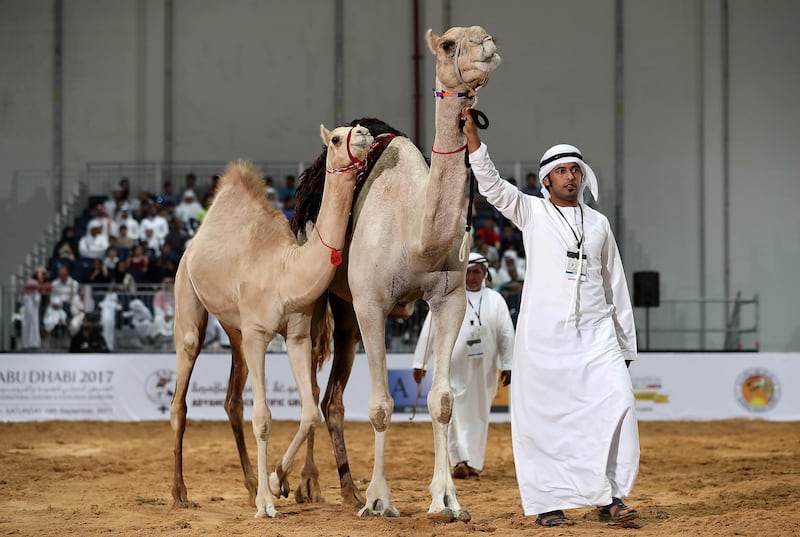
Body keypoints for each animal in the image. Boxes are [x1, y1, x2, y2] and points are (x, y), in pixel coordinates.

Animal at [170, 123, 376, 516]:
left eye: (358, 130)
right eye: (336, 138)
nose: (363, 132)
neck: (285, 270)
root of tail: (194, 244)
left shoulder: (296, 335)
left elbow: (309, 411)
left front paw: (277, 481)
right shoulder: (257, 334)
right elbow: (263, 417)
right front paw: (267, 503)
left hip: (234, 330)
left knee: (232, 401)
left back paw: (252, 485)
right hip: (187, 294)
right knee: (181, 397)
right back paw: (180, 493)